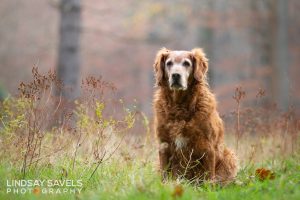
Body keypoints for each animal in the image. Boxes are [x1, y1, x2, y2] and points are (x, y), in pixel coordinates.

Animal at [154, 47, 238, 184]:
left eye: (186, 63)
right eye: (169, 63)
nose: (175, 75)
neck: (179, 106)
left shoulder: (208, 146)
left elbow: (209, 176)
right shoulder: (164, 145)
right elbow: (164, 174)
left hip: (229, 156)